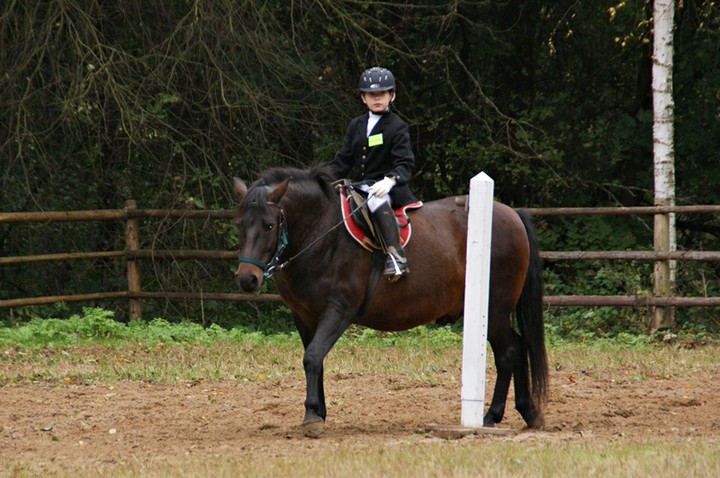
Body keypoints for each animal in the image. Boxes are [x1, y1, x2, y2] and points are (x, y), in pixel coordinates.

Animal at [233, 166, 548, 438]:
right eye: (239, 225)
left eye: (269, 225)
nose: (247, 279)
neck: (321, 233)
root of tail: (512, 213)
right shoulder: (304, 316)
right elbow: (315, 359)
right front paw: (318, 413)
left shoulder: (339, 311)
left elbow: (311, 357)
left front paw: (312, 416)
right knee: (517, 347)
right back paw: (522, 412)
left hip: (494, 310)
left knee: (508, 352)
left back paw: (496, 414)